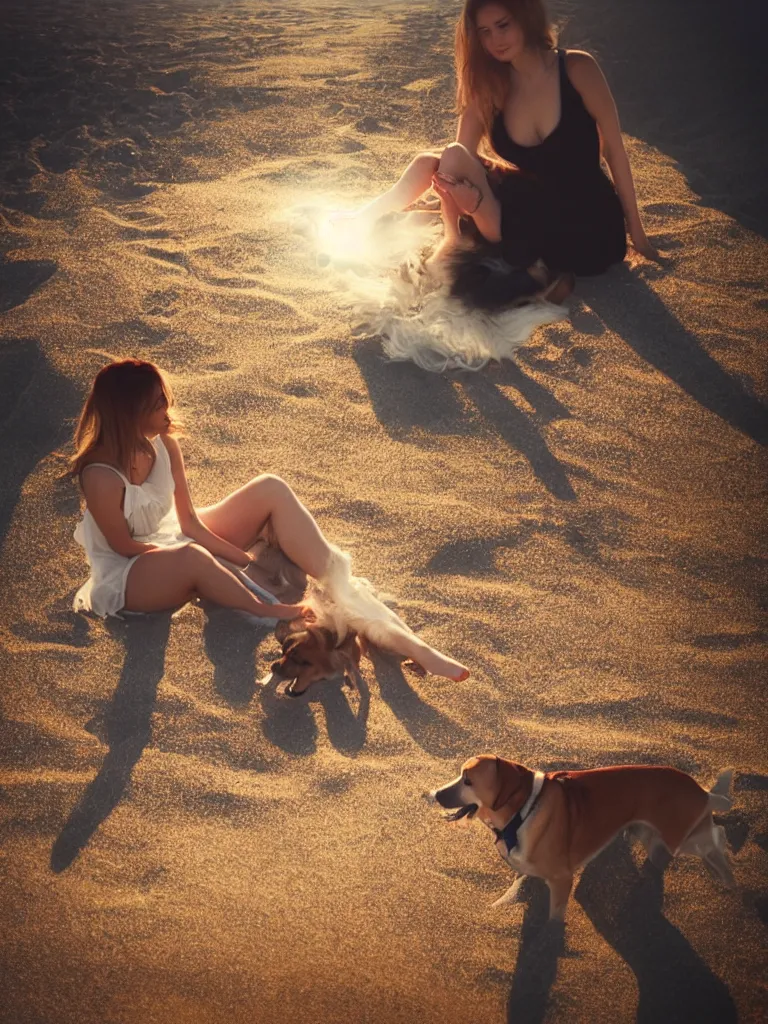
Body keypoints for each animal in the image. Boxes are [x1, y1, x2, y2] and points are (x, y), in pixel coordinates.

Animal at [436, 753, 737, 921]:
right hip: (650, 835)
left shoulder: (561, 880)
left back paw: (728, 878)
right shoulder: (528, 871)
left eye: (468, 781)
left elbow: (554, 918)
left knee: (716, 837)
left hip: (683, 837)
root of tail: (700, 791)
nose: (436, 794)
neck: (521, 811)